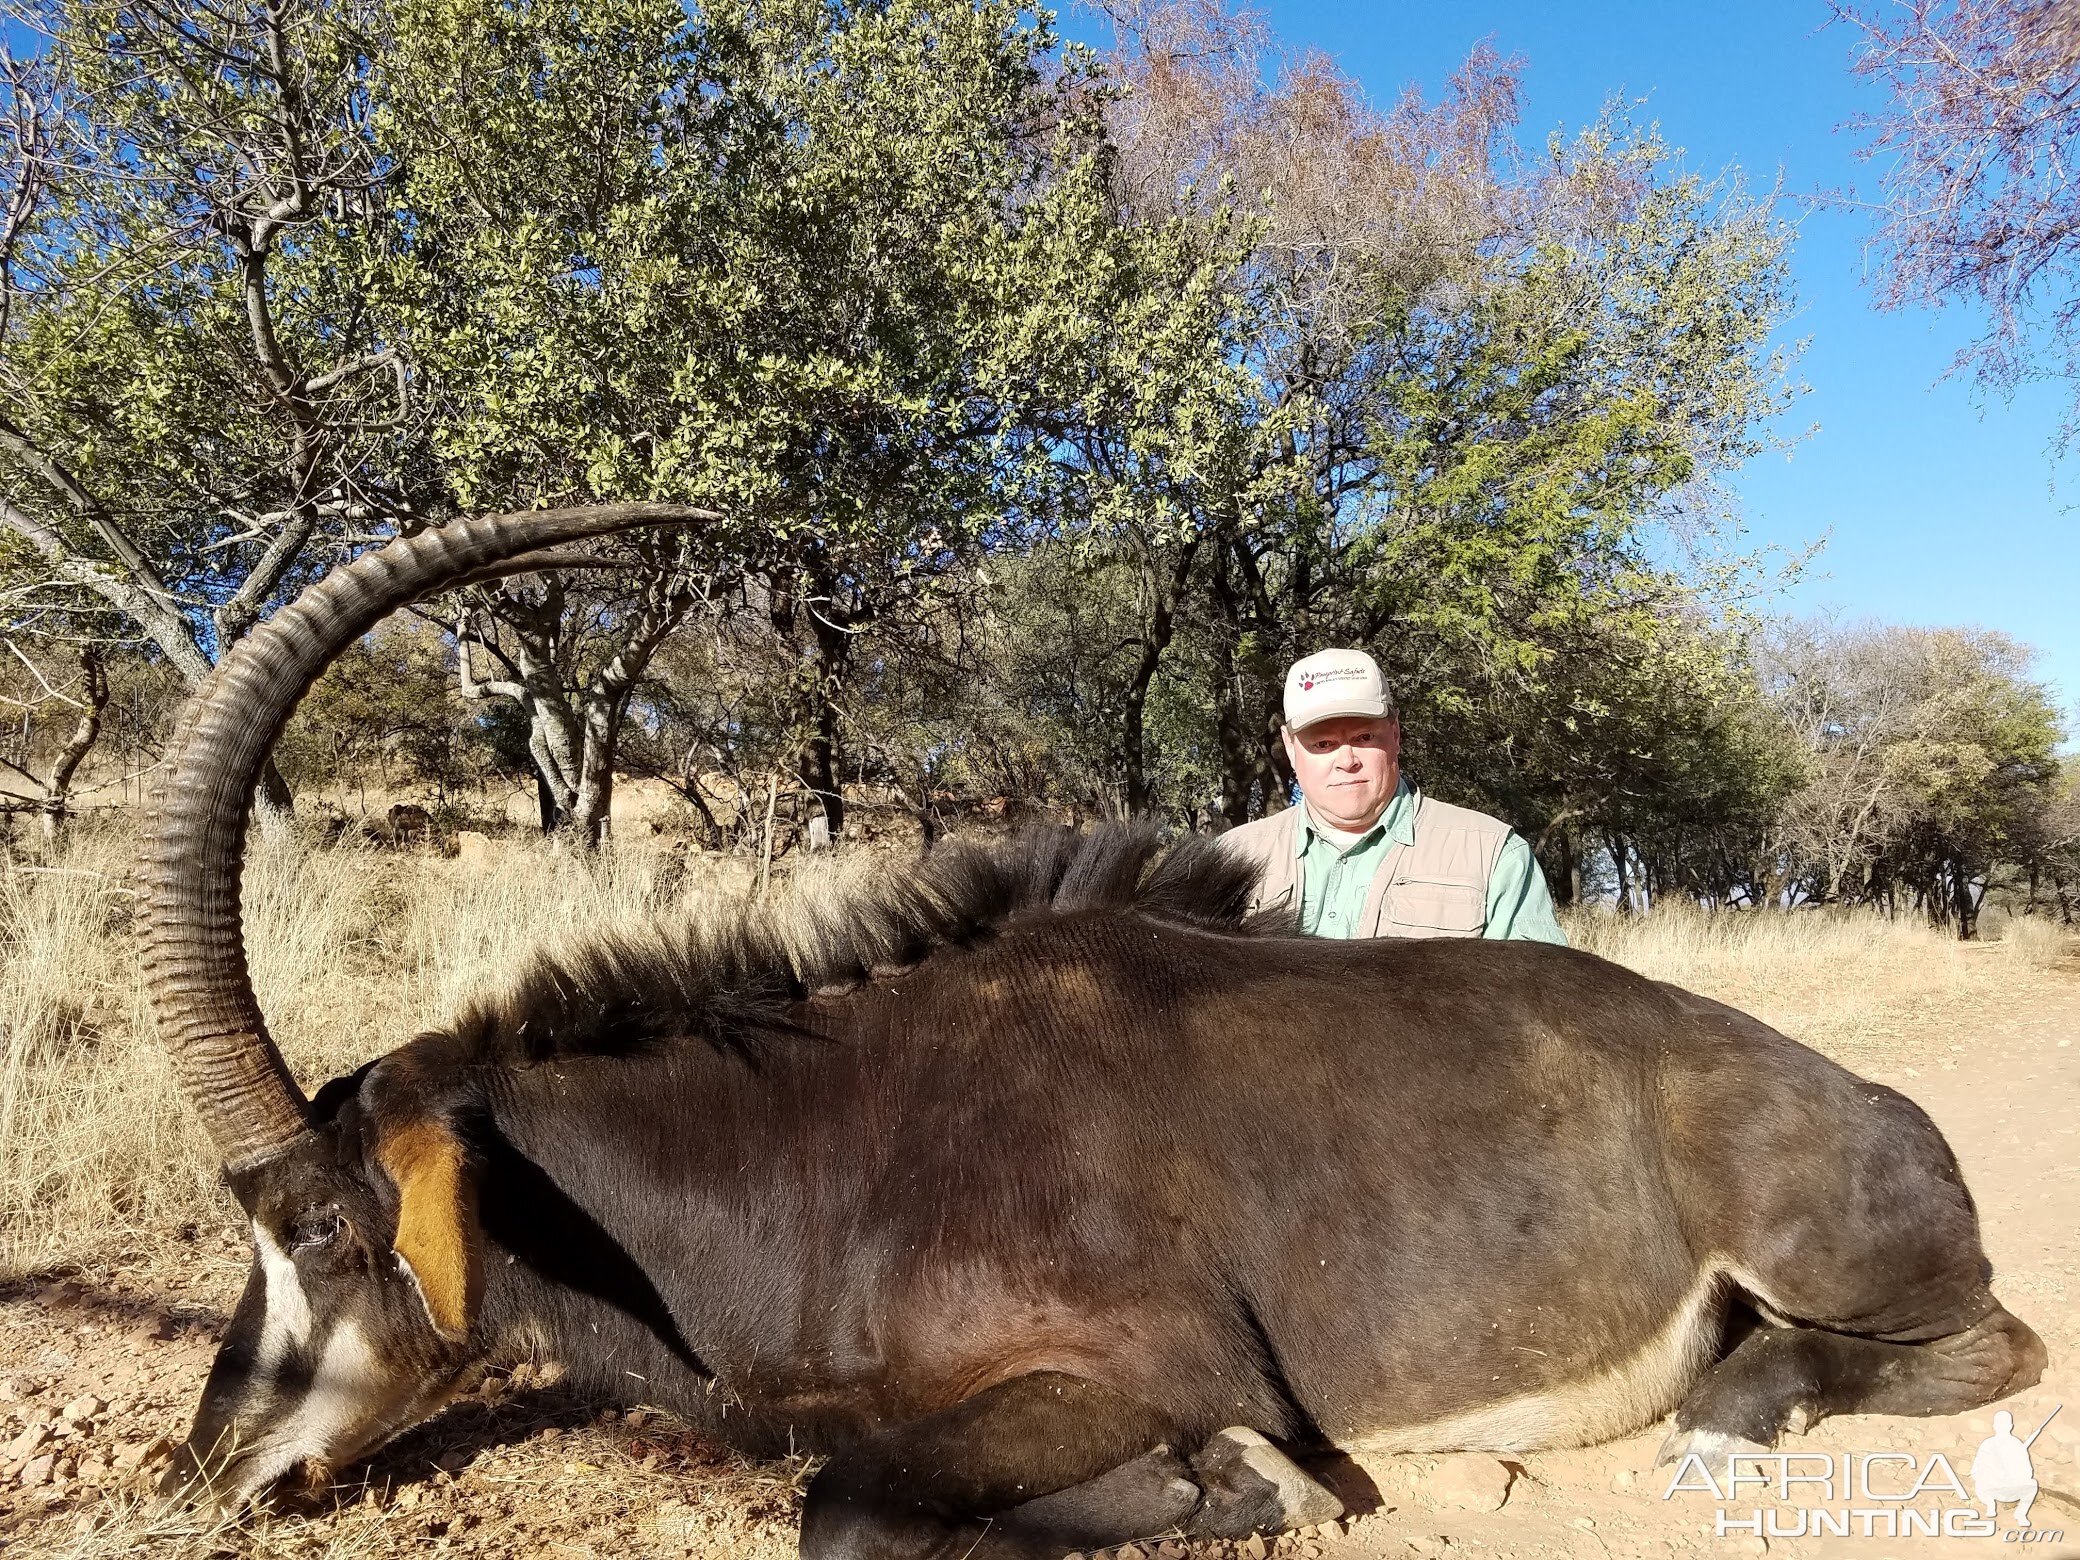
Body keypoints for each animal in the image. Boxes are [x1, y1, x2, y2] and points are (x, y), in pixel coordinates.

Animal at [146, 507, 2046, 1555]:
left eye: (323, 1231)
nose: (204, 1467)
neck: (836, 1141)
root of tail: (1871, 1095)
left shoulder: (1152, 1369)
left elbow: (849, 1506)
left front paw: (1250, 1494)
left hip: (1833, 1257)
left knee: (1984, 1345)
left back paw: (1725, 1418)